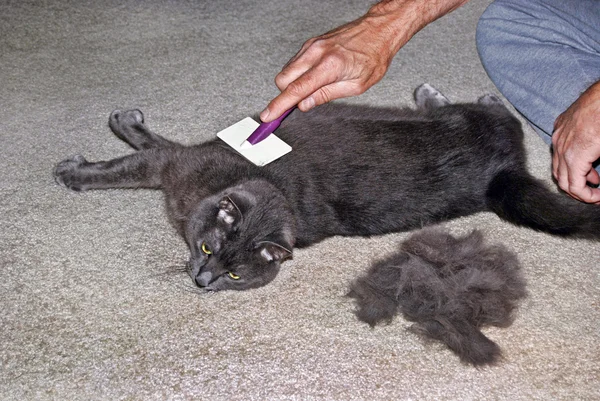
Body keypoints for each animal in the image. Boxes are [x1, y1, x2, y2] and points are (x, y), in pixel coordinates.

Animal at [54, 84, 600, 290]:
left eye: (235, 275)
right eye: (208, 248)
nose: (203, 281)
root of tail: (501, 175)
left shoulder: (174, 165)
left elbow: (134, 160)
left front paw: (73, 172)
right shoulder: (180, 164)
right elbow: (139, 150)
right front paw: (118, 129)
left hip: (473, 122)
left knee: (498, 112)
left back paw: (448, 93)